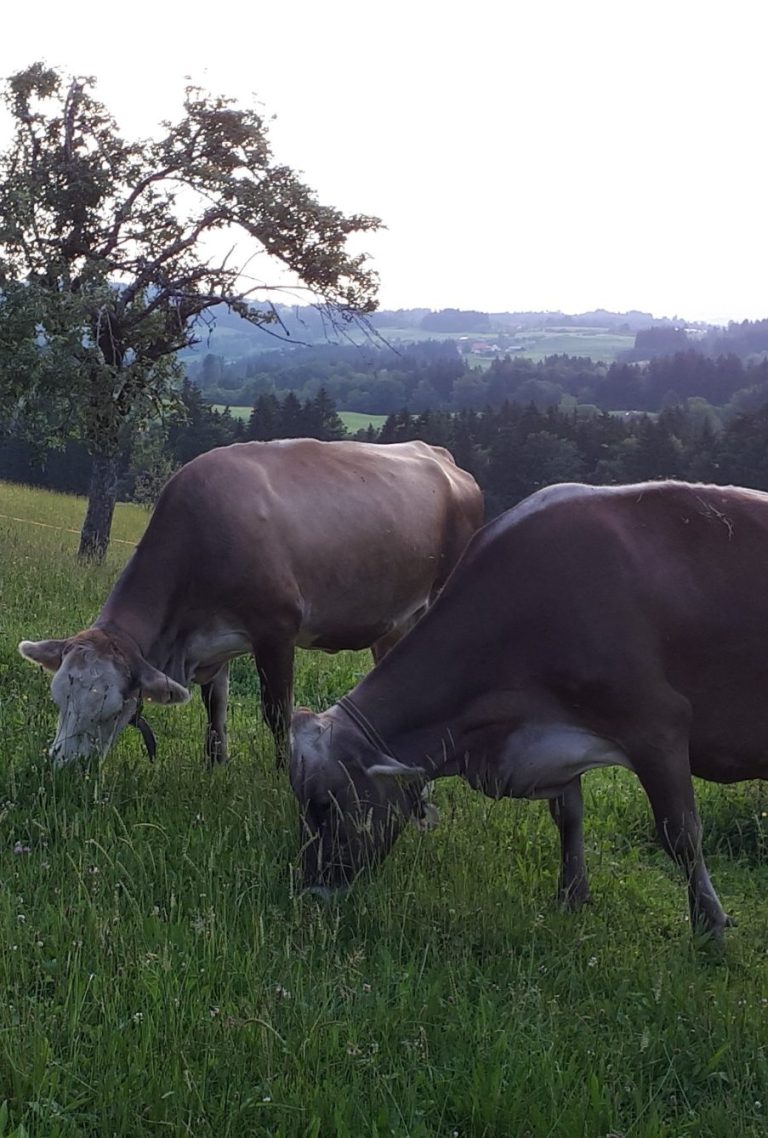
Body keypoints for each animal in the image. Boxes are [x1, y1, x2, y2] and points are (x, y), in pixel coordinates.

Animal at [19, 438, 483, 768]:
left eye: (113, 710)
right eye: (58, 698)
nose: (63, 767)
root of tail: (442, 457)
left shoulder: (276, 630)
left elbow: (277, 713)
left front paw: (283, 775)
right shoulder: (212, 642)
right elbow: (216, 708)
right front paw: (215, 765)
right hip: (394, 624)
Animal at [290, 480, 768, 939]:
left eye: (324, 805)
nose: (311, 891)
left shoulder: (657, 724)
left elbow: (681, 834)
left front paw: (710, 928)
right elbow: (568, 815)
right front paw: (572, 895)